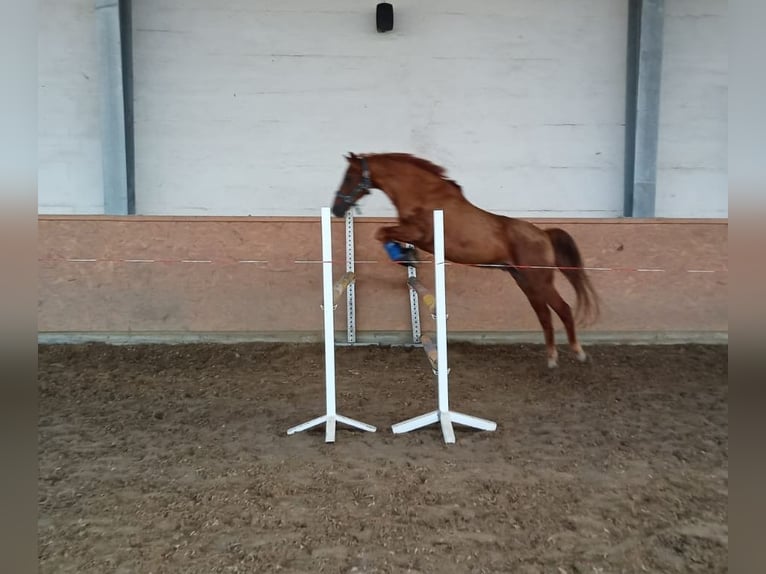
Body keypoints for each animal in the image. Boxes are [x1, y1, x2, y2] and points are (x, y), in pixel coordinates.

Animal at [330, 153, 600, 368]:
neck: (422, 193)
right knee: (544, 314)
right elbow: (384, 234)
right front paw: (406, 257)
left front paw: (404, 256)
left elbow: (381, 232)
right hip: (525, 281)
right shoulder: (412, 233)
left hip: (538, 279)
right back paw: (552, 358)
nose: (336, 209)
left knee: (563, 309)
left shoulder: (419, 233)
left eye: (349, 177)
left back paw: (579, 353)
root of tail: (543, 234)